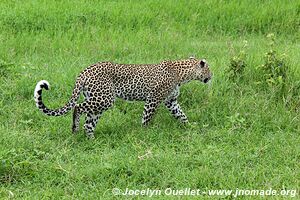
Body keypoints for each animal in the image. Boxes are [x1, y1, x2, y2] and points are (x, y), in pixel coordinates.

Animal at [34, 56, 211, 138]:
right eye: (209, 69)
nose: (211, 77)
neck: (182, 75)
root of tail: (84, 72)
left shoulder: (171, 101)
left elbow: (181, 115)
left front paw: (190, 127)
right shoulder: (153, 99)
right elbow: (146, 118)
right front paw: (144, 133)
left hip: (97, 100)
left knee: (89, 122)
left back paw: (92, 139)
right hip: (105, 99)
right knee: (78, 108)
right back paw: (74, 129)